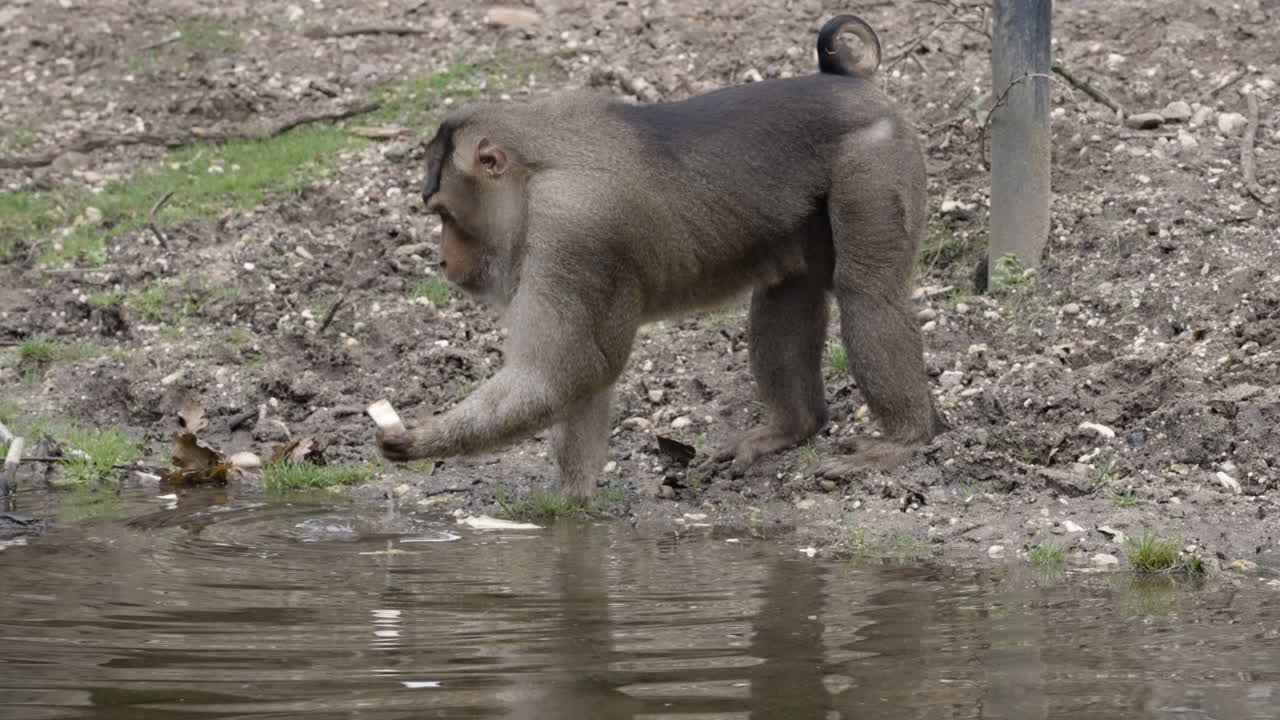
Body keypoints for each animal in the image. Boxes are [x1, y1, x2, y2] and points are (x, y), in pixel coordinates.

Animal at [376, 14, 945, 501]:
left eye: (445, 214)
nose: (442, 259)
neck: (532, 176)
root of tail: (851, 84)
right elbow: (585, 379)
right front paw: (569, 513)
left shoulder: (574, 232)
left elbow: (566, 371)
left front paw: (420, 439)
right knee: (789, 285)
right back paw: (793, 428)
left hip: (874, 157)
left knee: (867, 291)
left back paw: (904, 439)